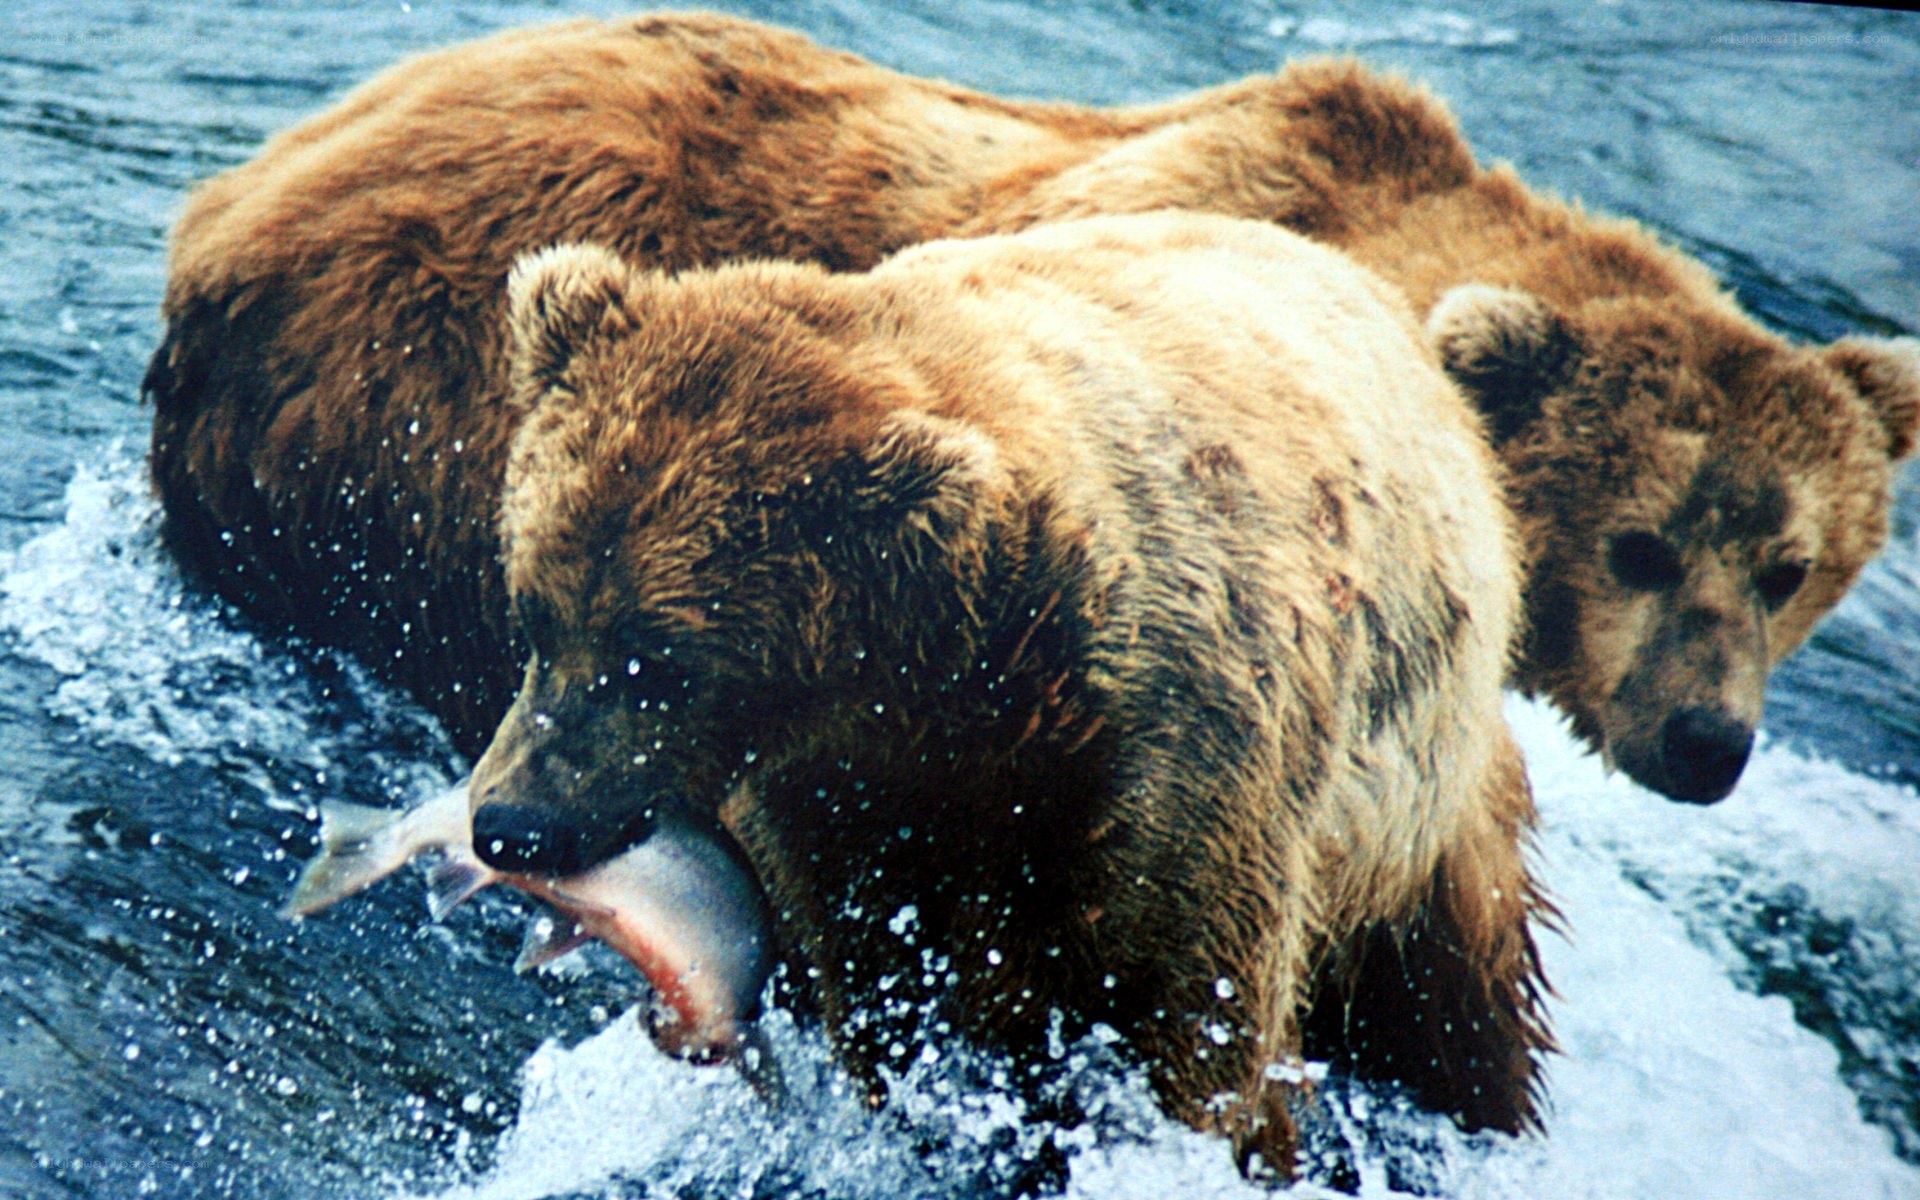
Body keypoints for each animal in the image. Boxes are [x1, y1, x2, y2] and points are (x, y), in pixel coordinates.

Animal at [461, 211, 1548, 1177]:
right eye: (532, 612)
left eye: (662, 660)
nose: (511, 822)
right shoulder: (853, 805)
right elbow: (878, 990)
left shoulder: (1178, 770)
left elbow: (1187, 1024)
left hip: (1425, 821)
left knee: (1469, 1013)